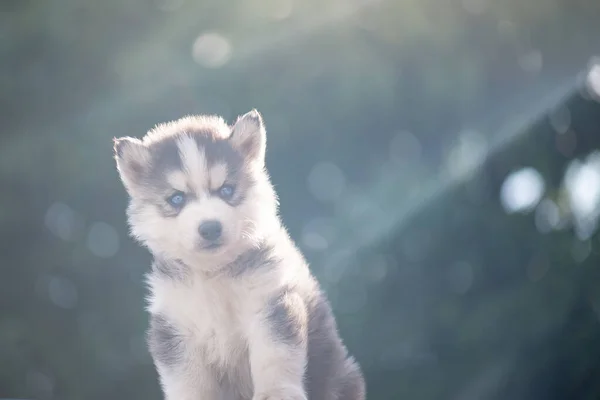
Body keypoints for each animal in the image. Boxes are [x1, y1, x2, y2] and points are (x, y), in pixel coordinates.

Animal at [113, 110, 366, 400]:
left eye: (226, 190)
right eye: (177, 199)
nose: (210, 228)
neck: (214, 272)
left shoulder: (270, 302)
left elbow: (274, 355)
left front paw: (276, 392)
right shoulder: (174, 326)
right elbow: (186, 378)